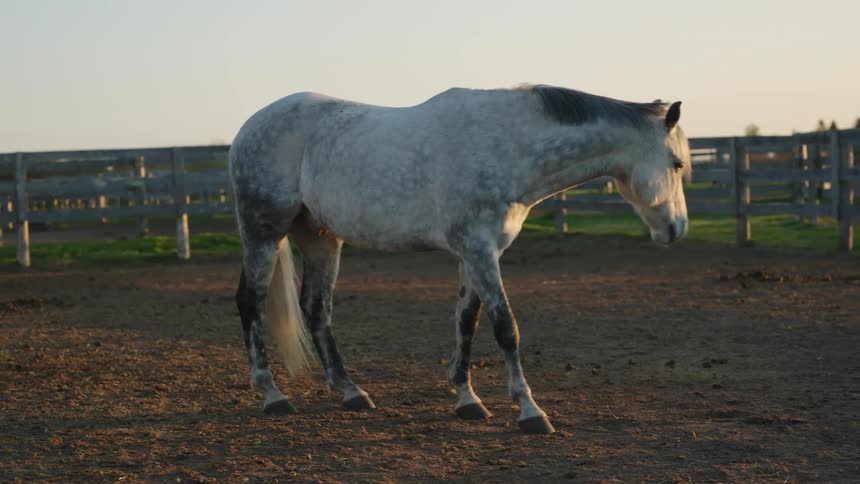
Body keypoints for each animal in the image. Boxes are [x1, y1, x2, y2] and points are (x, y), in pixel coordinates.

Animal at [228, 84, 690, 434]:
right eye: (677, 163)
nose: (677, 228)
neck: (506, 147)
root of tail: (249, 126)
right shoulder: (479, 250)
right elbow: (505, 327)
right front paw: (530, 411)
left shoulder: (475, 253)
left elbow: (466, 320)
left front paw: (467, 399)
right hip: (263, 233)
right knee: (251, 302)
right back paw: (272, 395)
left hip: (320, 239)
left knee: (316, 308)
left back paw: (350, 392)